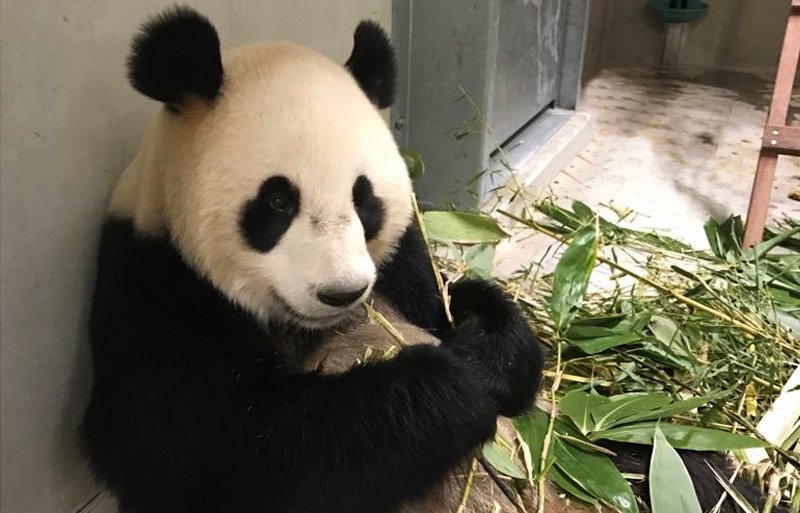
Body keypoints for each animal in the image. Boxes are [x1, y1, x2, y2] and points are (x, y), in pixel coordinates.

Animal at [82, 6, 771, 513]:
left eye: (364, 200)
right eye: (277, 201)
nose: (341, 293)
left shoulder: (399, 260)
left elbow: (451, 300)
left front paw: (485, 354)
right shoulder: (155, 291)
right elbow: (223, 452)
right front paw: (452, 383)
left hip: (609, 448)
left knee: (683, 467)